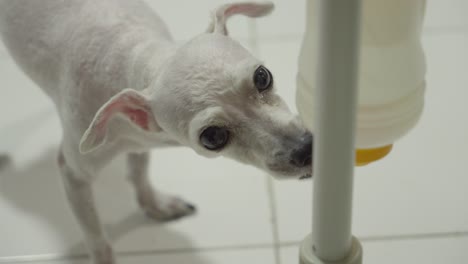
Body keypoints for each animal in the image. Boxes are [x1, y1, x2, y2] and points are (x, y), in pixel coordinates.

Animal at [1, 1, 312, 262]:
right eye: (212, 137)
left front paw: (154, 205)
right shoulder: (73, 174)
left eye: (262, 77)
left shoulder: (141, 141)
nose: (306, 149)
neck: (135, 55)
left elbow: (138, 172)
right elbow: (97, 239)